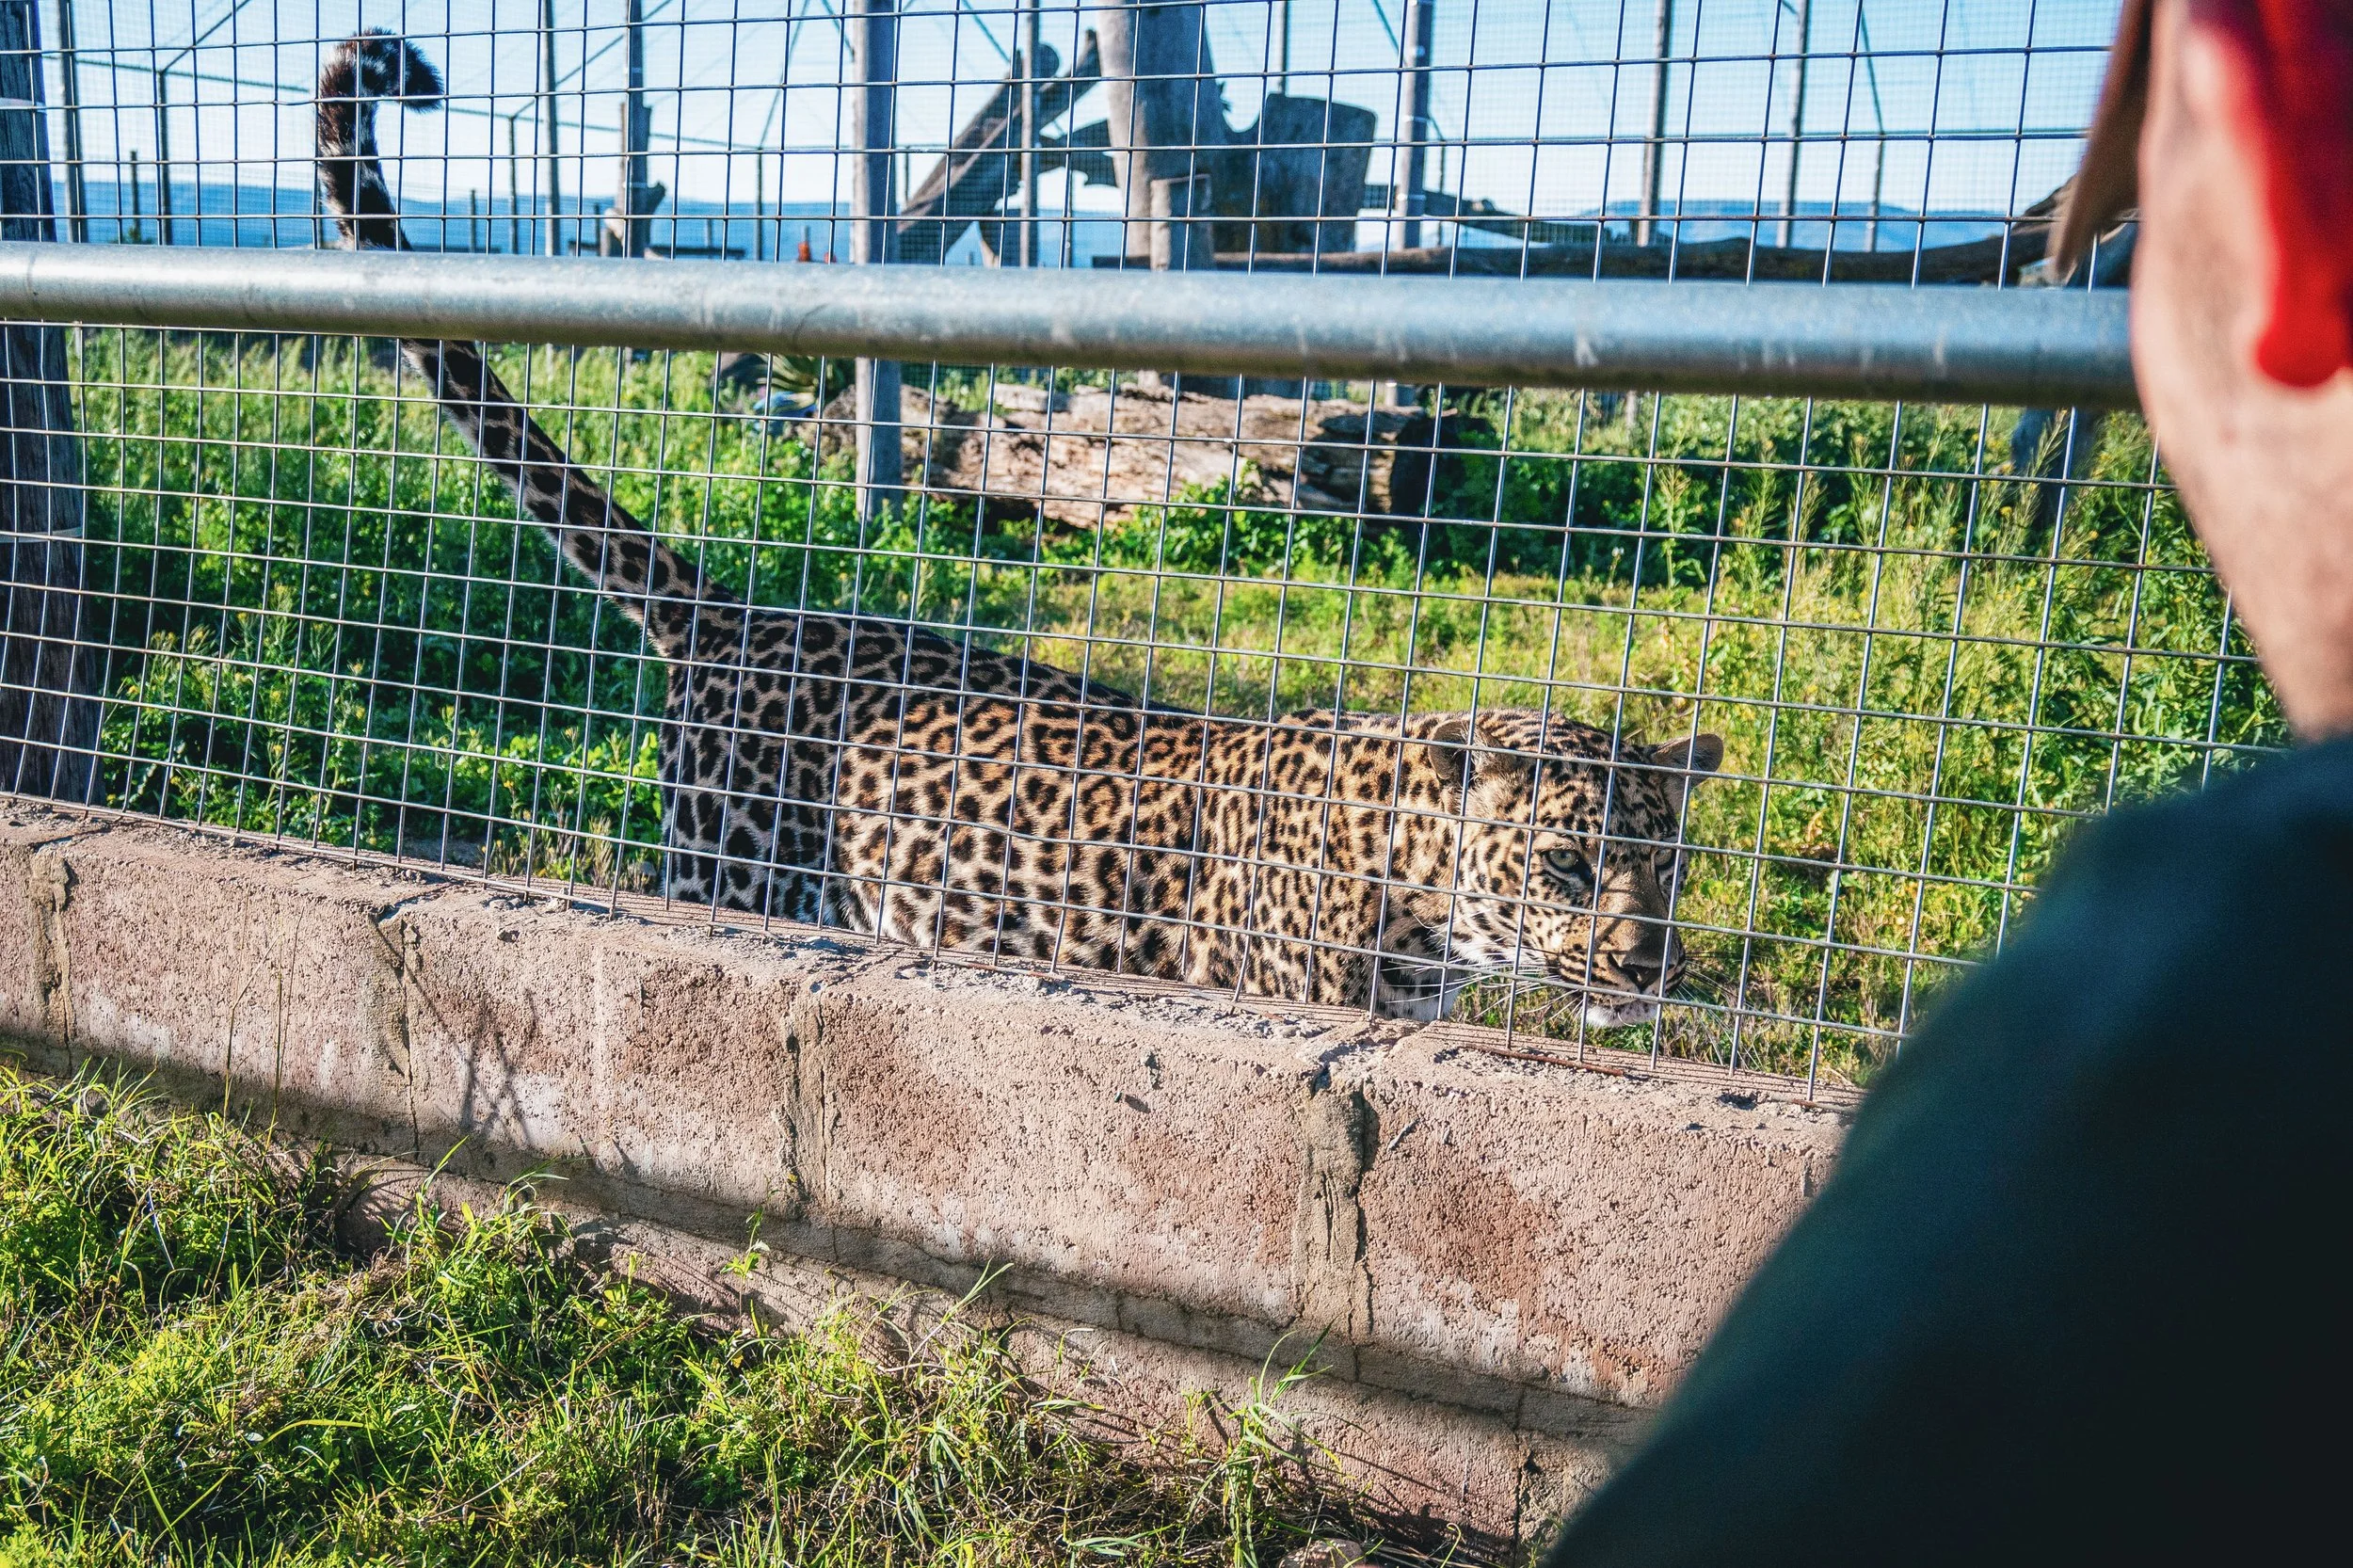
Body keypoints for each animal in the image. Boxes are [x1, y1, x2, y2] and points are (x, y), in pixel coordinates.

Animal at [315, 31, 1724, 1024]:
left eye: (1667, 863)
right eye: (1563, 865)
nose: (1647, 964)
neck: (1415, 897)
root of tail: (741, 611)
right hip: (729, 877)